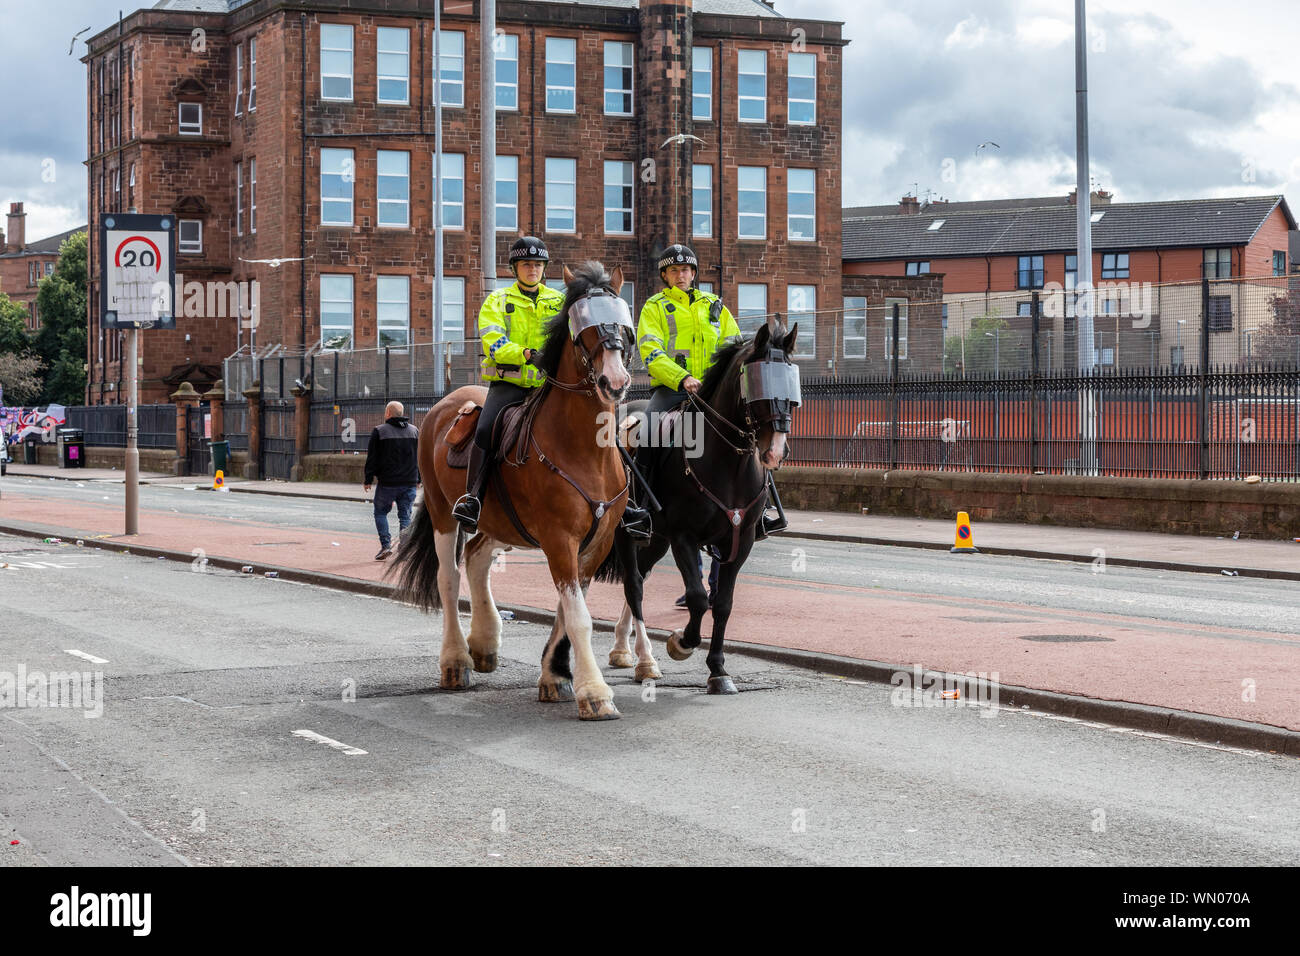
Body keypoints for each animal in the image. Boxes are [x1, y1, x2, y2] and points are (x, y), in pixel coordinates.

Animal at [390, 261, 636, 721]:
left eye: (623, 322)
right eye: (583, 327)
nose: (615, 381)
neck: (581, 447)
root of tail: (442, 406)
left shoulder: (596, 543)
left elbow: (567, 610)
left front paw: (554, 675)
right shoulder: (559, 539)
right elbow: (579, 617)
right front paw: (594, 693)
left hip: (499, 521)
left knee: (476, 558)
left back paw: (484, 641)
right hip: (444, 513)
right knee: (449, 577)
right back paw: (456, 660)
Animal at [597, 319, 800, 694]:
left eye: (790, 379)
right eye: (756, 382)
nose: (775, 451)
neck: (726, 463)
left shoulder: (740, 540)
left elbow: (722, 603)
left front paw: (718, 669)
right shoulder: (684, 537)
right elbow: (696, 597)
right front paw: (681, 642)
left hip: (655, 540)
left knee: (640, 579)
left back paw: (623, 649)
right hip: (627, 533)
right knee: (633, 585)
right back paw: (643, 660)